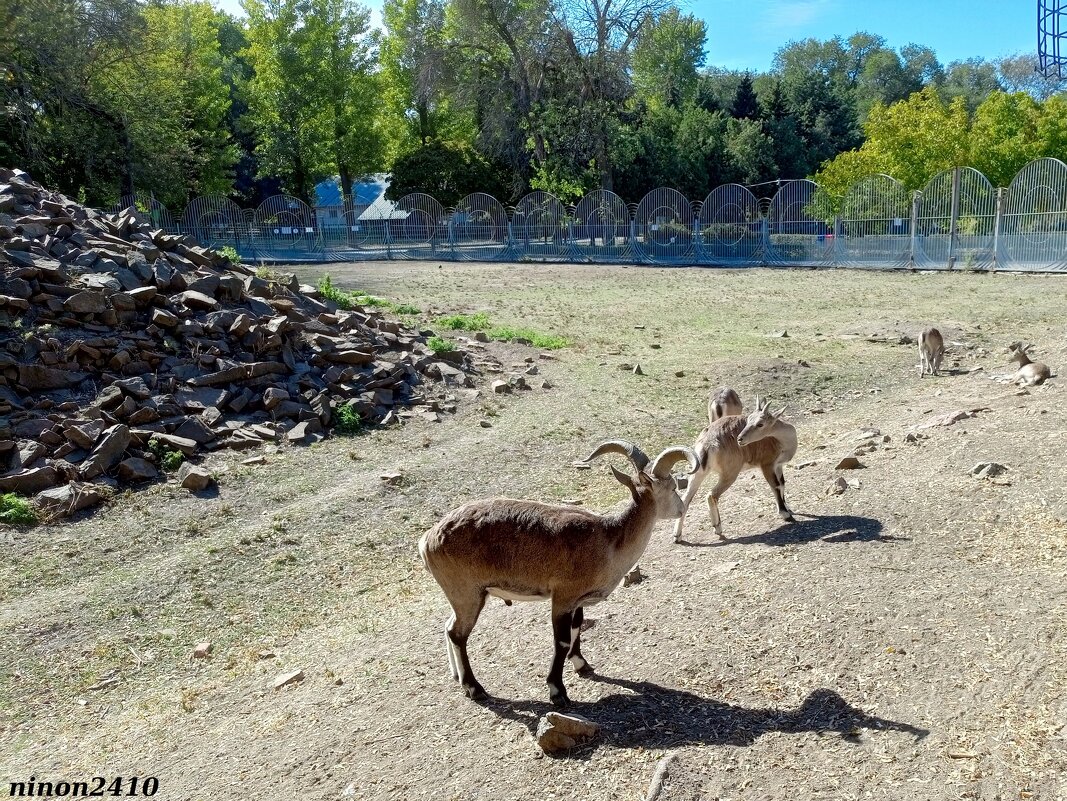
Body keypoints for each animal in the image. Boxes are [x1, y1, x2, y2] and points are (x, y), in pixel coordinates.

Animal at [416, 439, 699, 708]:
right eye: (672, 487)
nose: (682, 507)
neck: (608, 539)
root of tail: (428, 540)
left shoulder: (577, 601)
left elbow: (577, 628)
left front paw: (583, 665)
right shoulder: (562, 597)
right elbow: (561, 641)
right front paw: (558, 692)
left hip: (463, 596)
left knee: (449, 627)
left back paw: (457, 676)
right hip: (467, 594)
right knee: (458, 633)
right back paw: (475, 688)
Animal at [674, 396, 793, 546]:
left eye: (760, 423)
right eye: (749, 420)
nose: (740, 439)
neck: (782, 441)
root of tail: (707, 442)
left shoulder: (778, 465)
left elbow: (782, 483)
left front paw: (788, 508)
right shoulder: (767, 464)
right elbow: (775, 486)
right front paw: (785, 514)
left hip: (699, 473)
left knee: (686, 498)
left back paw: (677, 536)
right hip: (729, 474)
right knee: (711, 495)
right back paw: (718, 528)